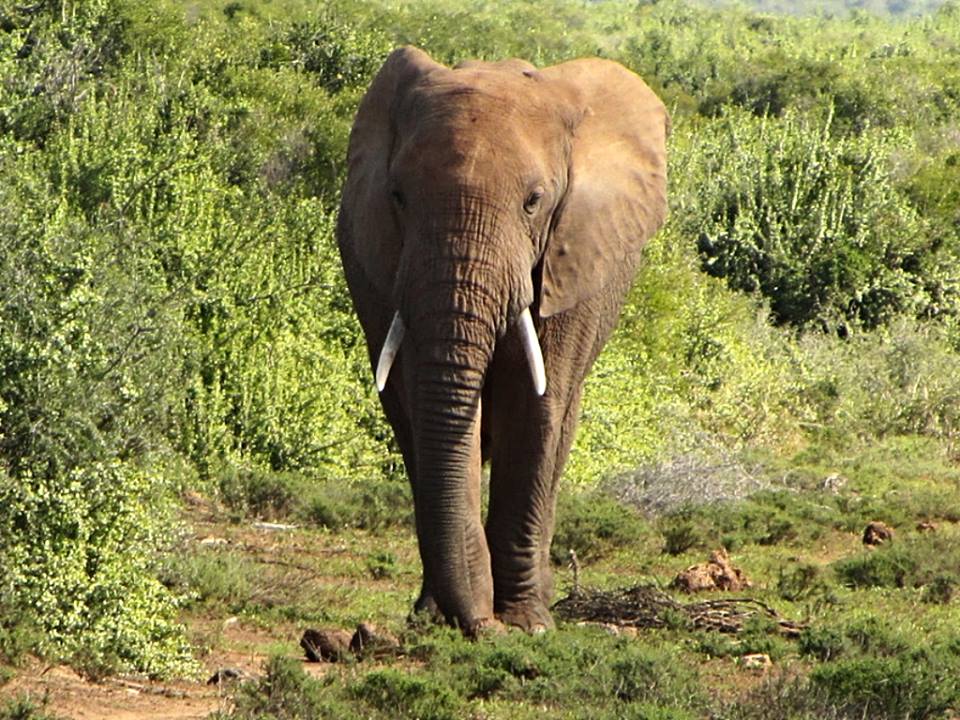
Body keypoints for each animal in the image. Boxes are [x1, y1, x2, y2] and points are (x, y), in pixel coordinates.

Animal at [336, 46, 668, 634]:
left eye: (534, 201)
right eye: (398, 196)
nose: (479, 624)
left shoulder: (572, 262)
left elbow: (532, 407)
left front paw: (526, 624)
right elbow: (430, 407)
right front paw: (450, 618)